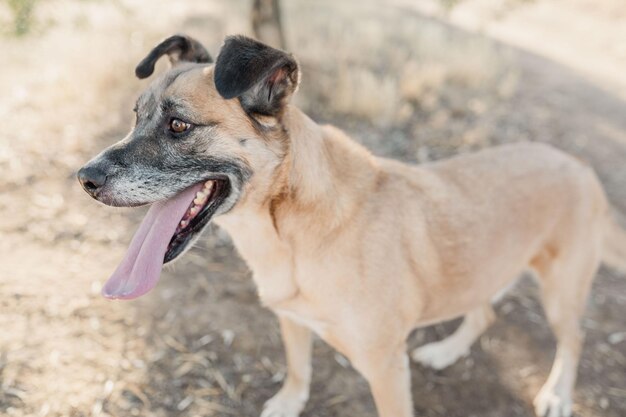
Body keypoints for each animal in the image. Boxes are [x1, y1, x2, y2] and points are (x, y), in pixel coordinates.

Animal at [78, 35, 624, 416]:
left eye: (178, 126)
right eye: (135, 116)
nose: (84, 178)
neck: (290, 231)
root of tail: (579, 164)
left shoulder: (385, 367)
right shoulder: (292, 319)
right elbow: (299, 369)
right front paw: (289, 402)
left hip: (561, 291)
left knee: (572, 340)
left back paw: (556, 394)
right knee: (485, 312)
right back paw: (447, 351)